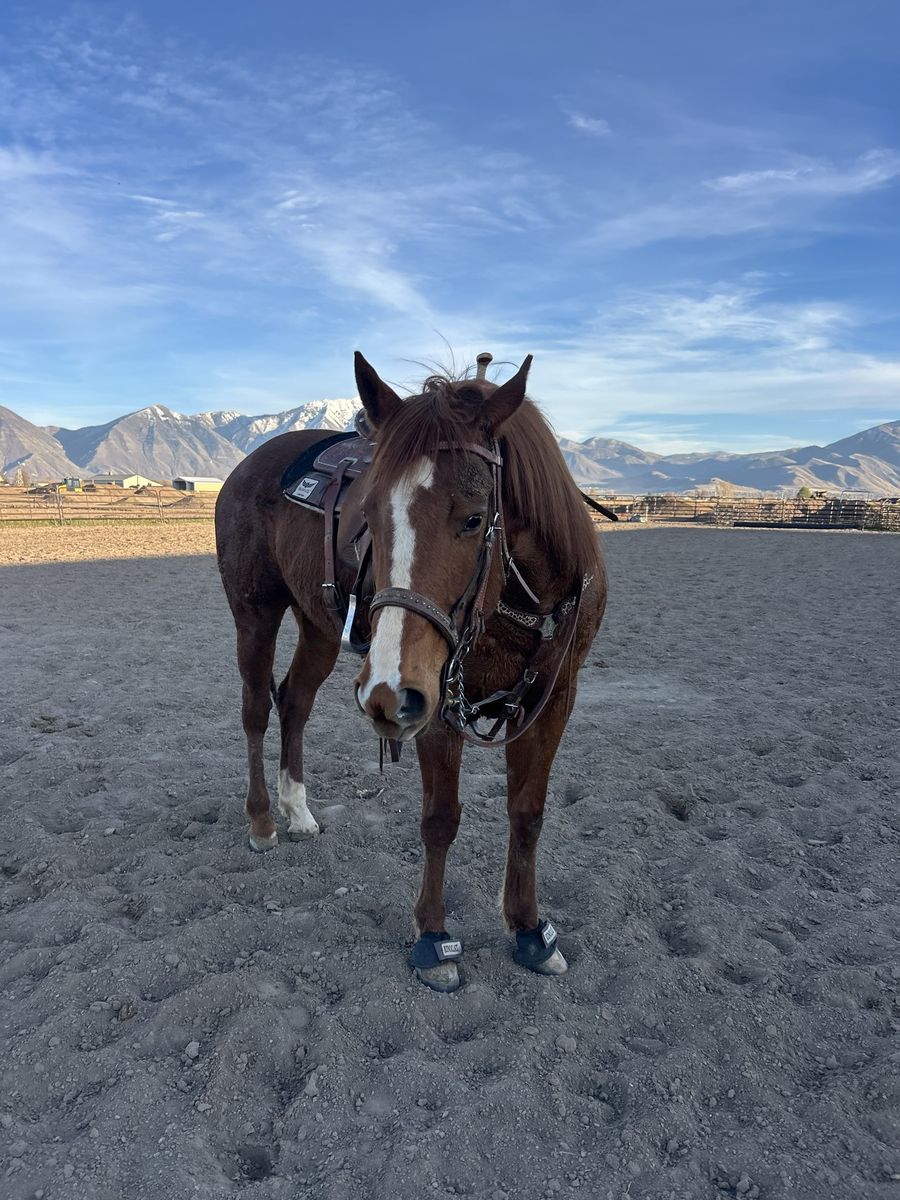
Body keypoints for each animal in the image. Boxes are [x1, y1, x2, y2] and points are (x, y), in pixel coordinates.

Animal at [215, 352, 607, 991]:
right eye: (368, 514)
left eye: (474, 519)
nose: (385, 696)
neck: (524, 601)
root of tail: (248, 465)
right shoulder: (438, 703)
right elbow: (440, 819)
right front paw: (433, 937)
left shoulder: (553, 699)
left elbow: (527, 813)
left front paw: (529, 929)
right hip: (255, 612)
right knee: (255, 709)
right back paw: (263, 821)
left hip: (320, 626)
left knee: (293, 700)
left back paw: (298, 810)